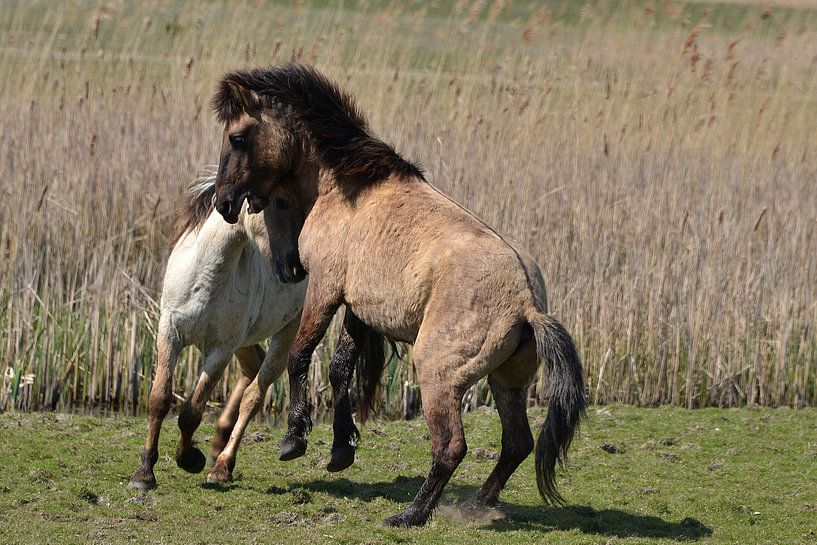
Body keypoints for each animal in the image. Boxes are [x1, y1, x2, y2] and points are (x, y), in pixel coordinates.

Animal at [128, 171, 382, 488]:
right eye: (279, 203)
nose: (298, 265)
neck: (205, 278)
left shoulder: (220, 350)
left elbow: (192, 411)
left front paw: (189, 459)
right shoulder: (169, 333)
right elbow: (159, 399)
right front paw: (144, 473)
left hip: (286, 332)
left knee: (254, 395)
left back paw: (222, 465)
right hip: (246, 339)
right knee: (251, 368)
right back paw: (217, 444)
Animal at [209, 65, 588, 528]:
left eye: (237, 137)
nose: (224, 202)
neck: (349, 189)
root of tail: (526, 305)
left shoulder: (326, 288)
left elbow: (302, 355)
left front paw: (295, 439)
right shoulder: (359, 305)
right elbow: (340, 369)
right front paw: (341, 450)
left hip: (437, 376)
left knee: (451, 446)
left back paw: (411, 514)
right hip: (506, 382)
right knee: (518, 443)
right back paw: (476, 505)